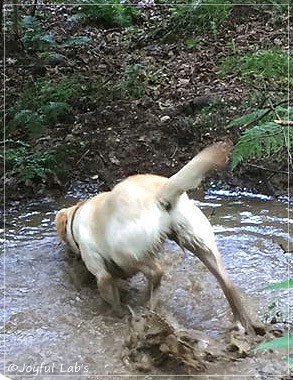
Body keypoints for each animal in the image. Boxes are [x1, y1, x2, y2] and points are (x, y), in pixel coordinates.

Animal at [54, 143, 253, 336]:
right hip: (202, 245)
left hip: (124, 252)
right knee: (227, 283)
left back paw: (146, 302)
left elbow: (112, 296)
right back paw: (243, 322)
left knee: (157, 272)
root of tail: (159, 195)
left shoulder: (100, 272)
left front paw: (116, 314)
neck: (77, 218)